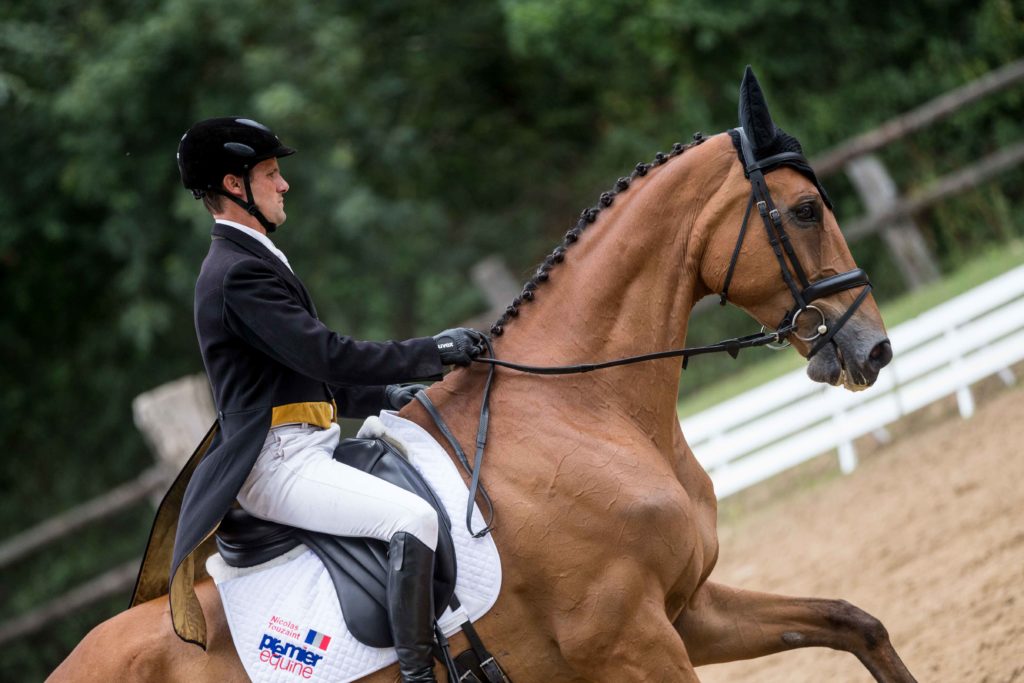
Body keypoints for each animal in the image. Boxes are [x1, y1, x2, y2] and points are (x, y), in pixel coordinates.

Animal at [49, 70, 913, 683]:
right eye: (804, 210)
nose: (873, 348)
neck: (576, 411)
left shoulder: (686, 611)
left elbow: (855, 619)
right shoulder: (629, 642)